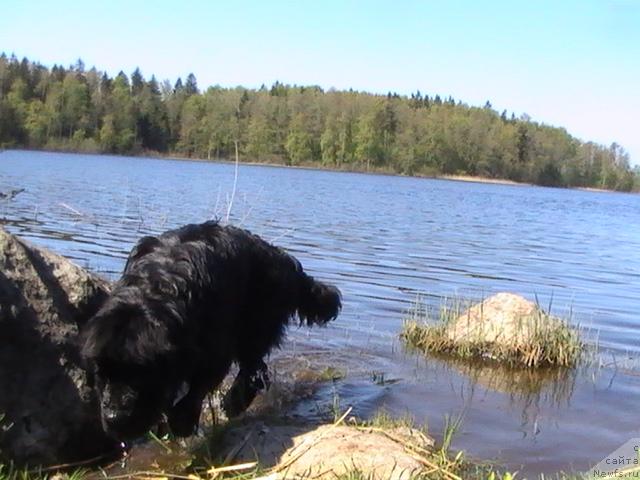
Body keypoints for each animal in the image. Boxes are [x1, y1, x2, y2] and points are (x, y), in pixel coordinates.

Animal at [79, 221, 340, 438]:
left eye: (139, 374)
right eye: (100, 373)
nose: (114, 417)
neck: (156, 291)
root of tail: (281, 258)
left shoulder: (214, 344)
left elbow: (200, 382)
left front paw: (182, 420)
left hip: (257, 320)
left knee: (254, 368)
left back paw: (234, 402)